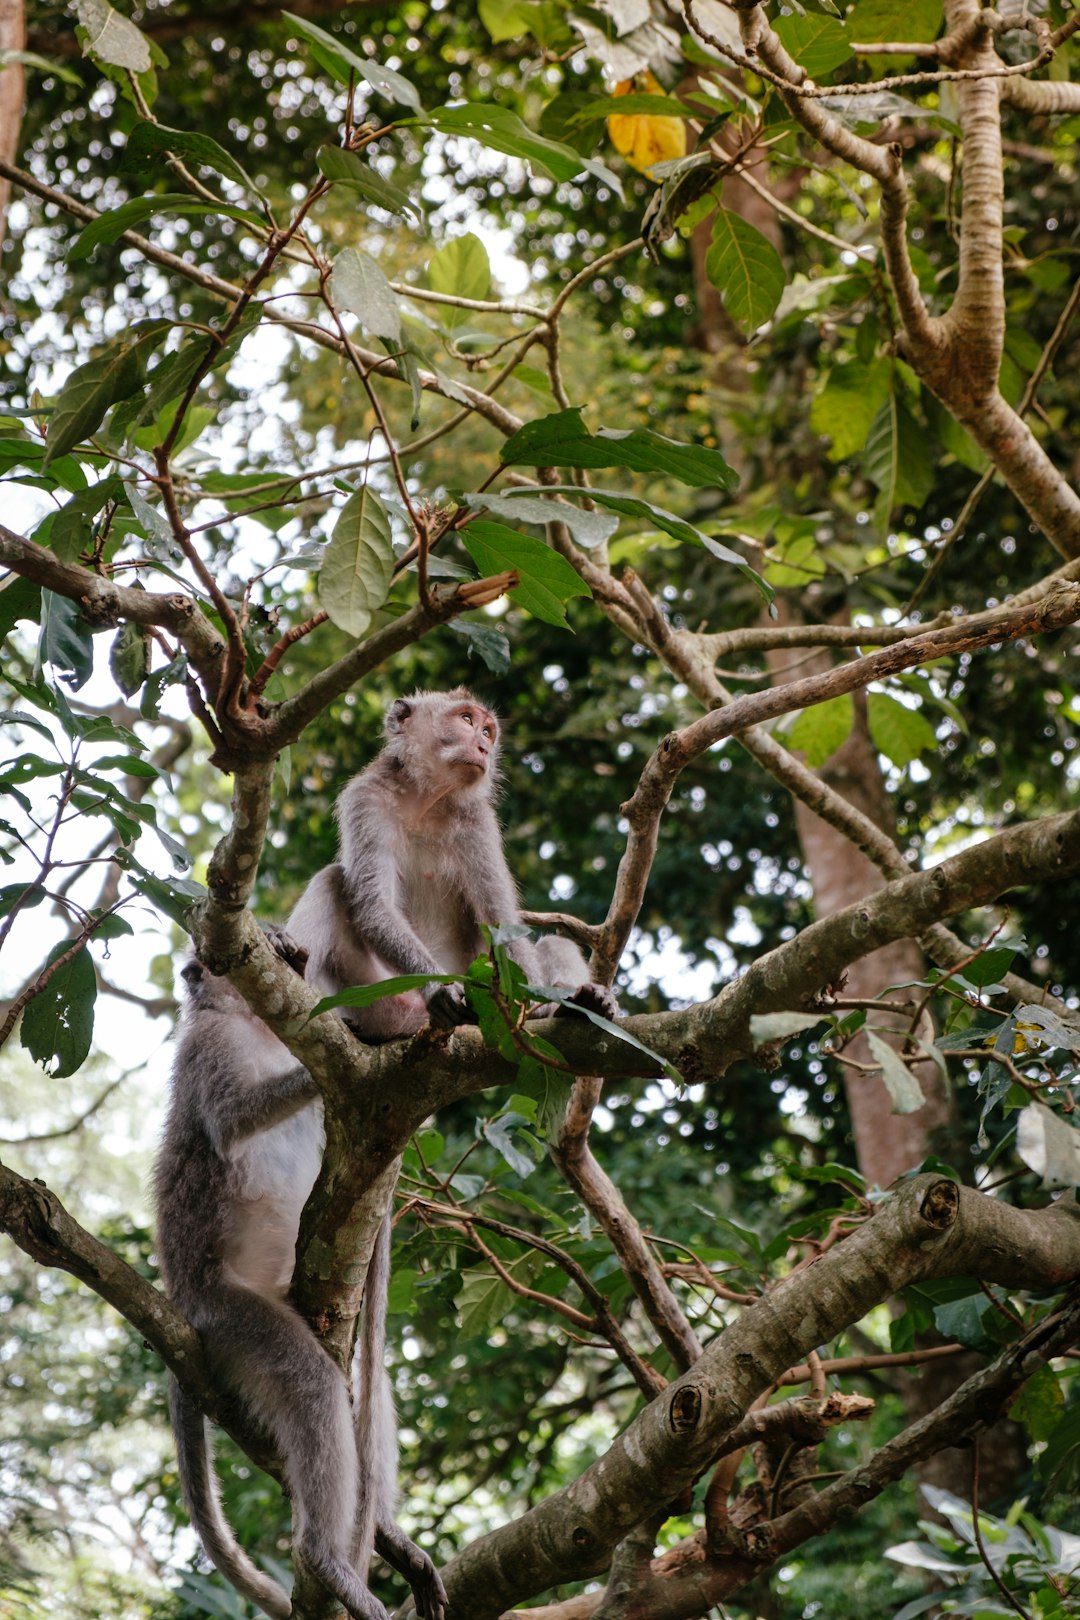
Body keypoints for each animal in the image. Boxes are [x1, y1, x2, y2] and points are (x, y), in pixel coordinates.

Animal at [153, 946, 446, 1620]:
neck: (257, 1027)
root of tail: (184, 1307)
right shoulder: (207, 1045)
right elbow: (233, 1119)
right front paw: (352, 1051)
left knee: (368, 1380)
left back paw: (383, 1533)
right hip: (227, 1317)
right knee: (311, 1381)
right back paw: (325, 1559)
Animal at [286, 683, 621, 1036]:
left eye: (487, 732)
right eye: (466, 719)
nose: (484, 747)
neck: (427, 801)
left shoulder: (478, 823)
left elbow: (500, 919)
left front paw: (535, 1007)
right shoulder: (365, 800)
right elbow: (375, 903)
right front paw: (439, 988)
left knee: (555, 945)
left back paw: (579, 1005)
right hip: (379, 1002)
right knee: (332, 879)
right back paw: (290, 956)